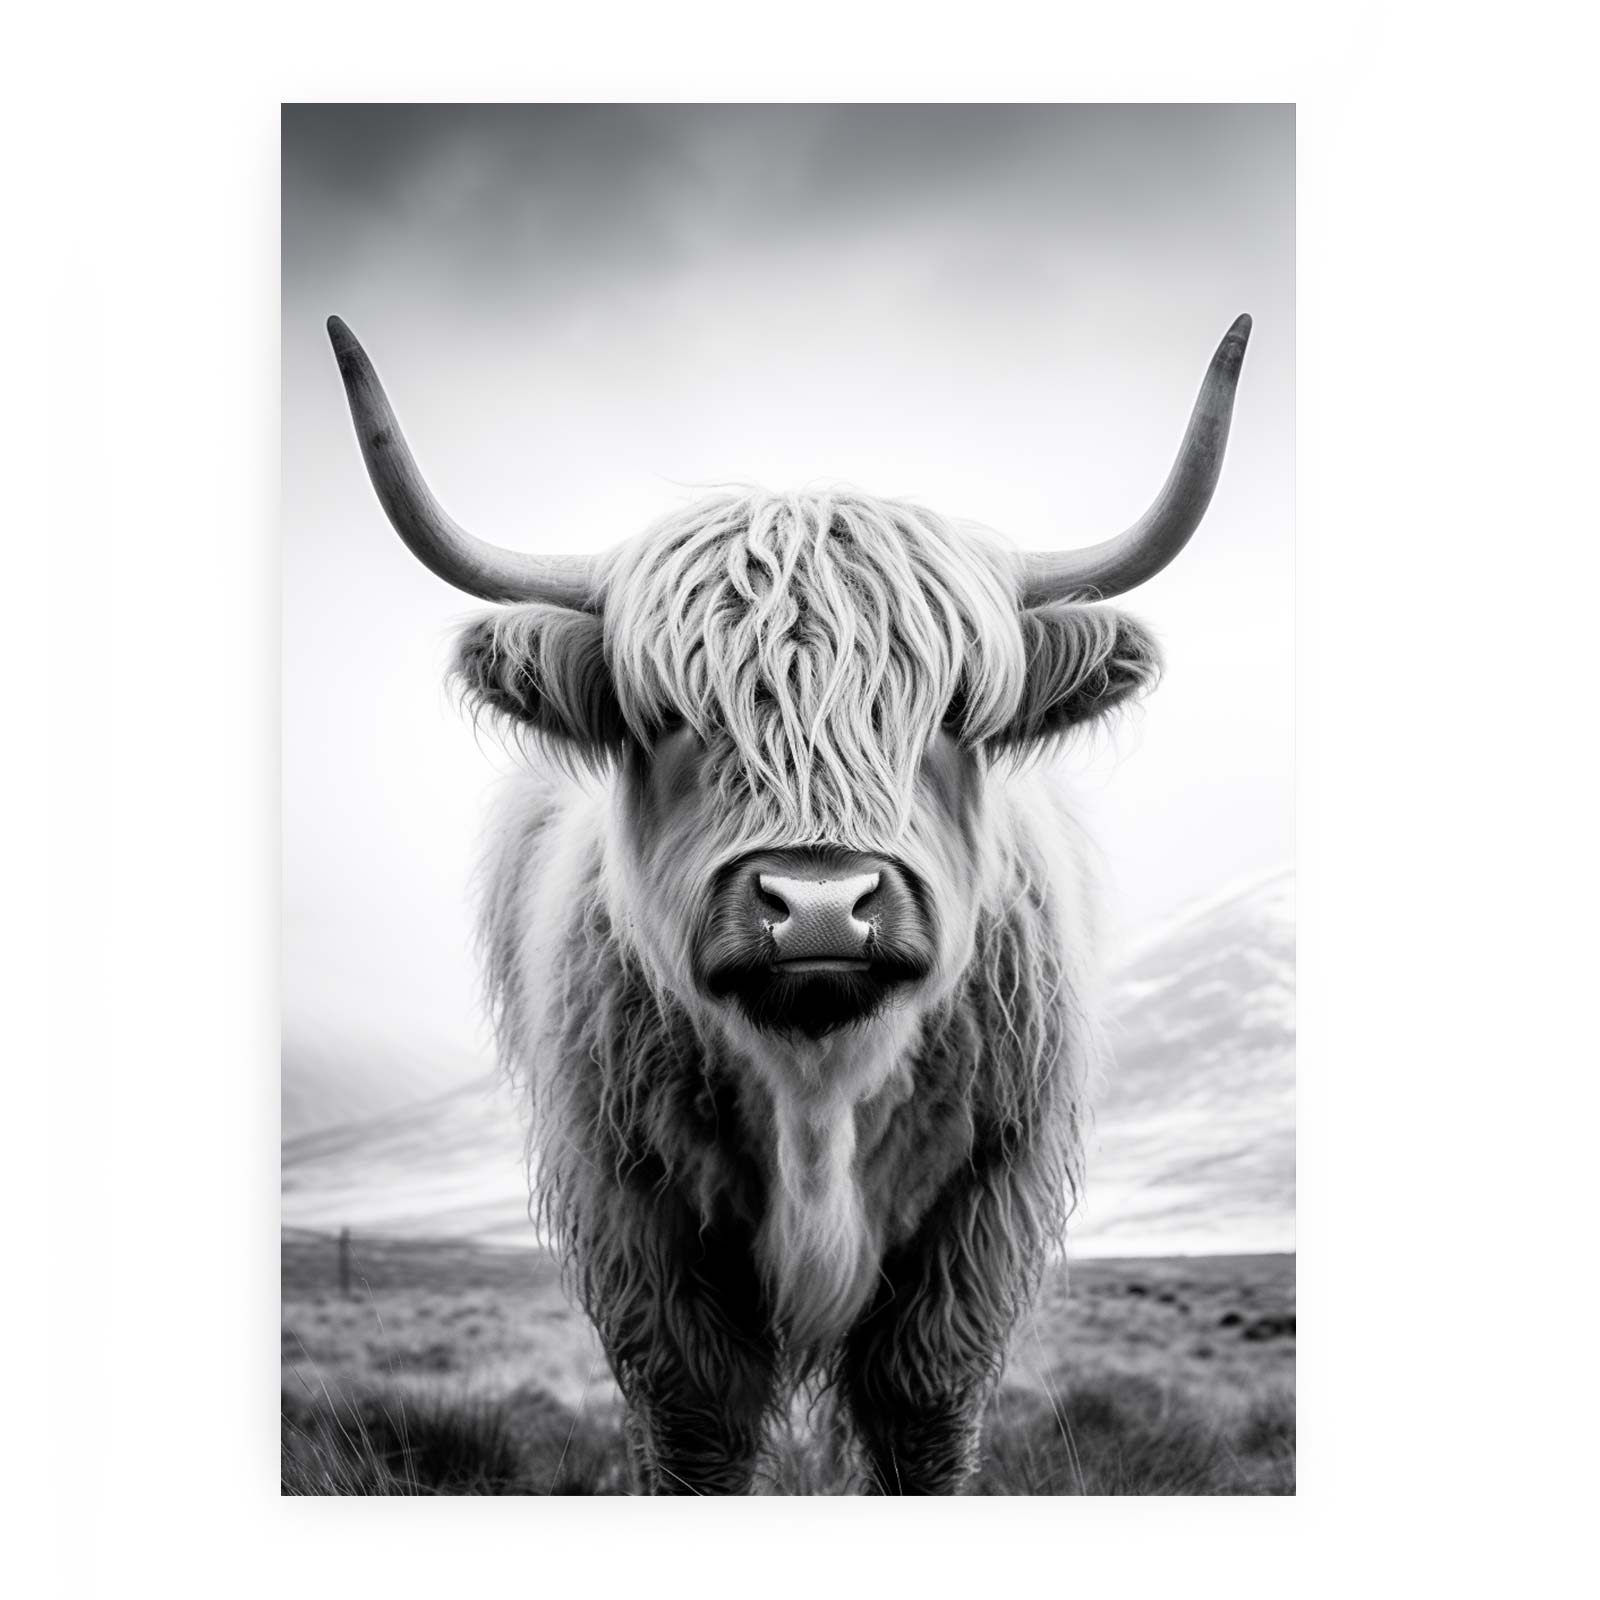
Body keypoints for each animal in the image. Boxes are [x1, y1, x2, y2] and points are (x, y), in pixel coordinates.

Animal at [327, 313, 1250, 1494]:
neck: (818, 1084)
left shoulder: (979, 1217)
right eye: (672, 714)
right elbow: (694, 1427)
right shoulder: (639, 1221)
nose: (819, 904)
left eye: (952, 710)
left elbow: (920, 1416)